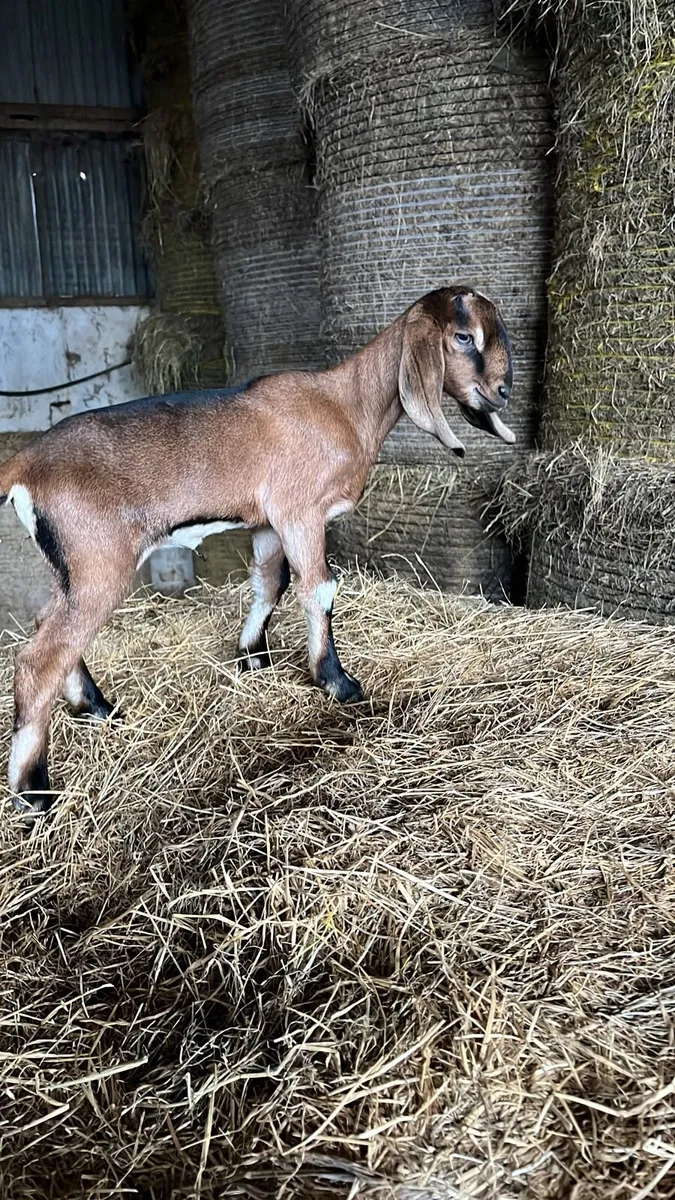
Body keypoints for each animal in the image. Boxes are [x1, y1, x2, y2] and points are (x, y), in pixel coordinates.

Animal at [0, 286, 514, 815]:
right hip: (99, 562)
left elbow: (271, 582)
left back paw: (97, 708)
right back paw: (33, 790)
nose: (503, 392)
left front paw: (252, 659)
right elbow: (318, 588)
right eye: (463, 336)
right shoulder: (300, 513)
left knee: (48, 627)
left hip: (70, 567)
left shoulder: (268, 523)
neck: (345, 404)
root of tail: (23, 464)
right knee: (40, 659)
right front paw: (337, 682)